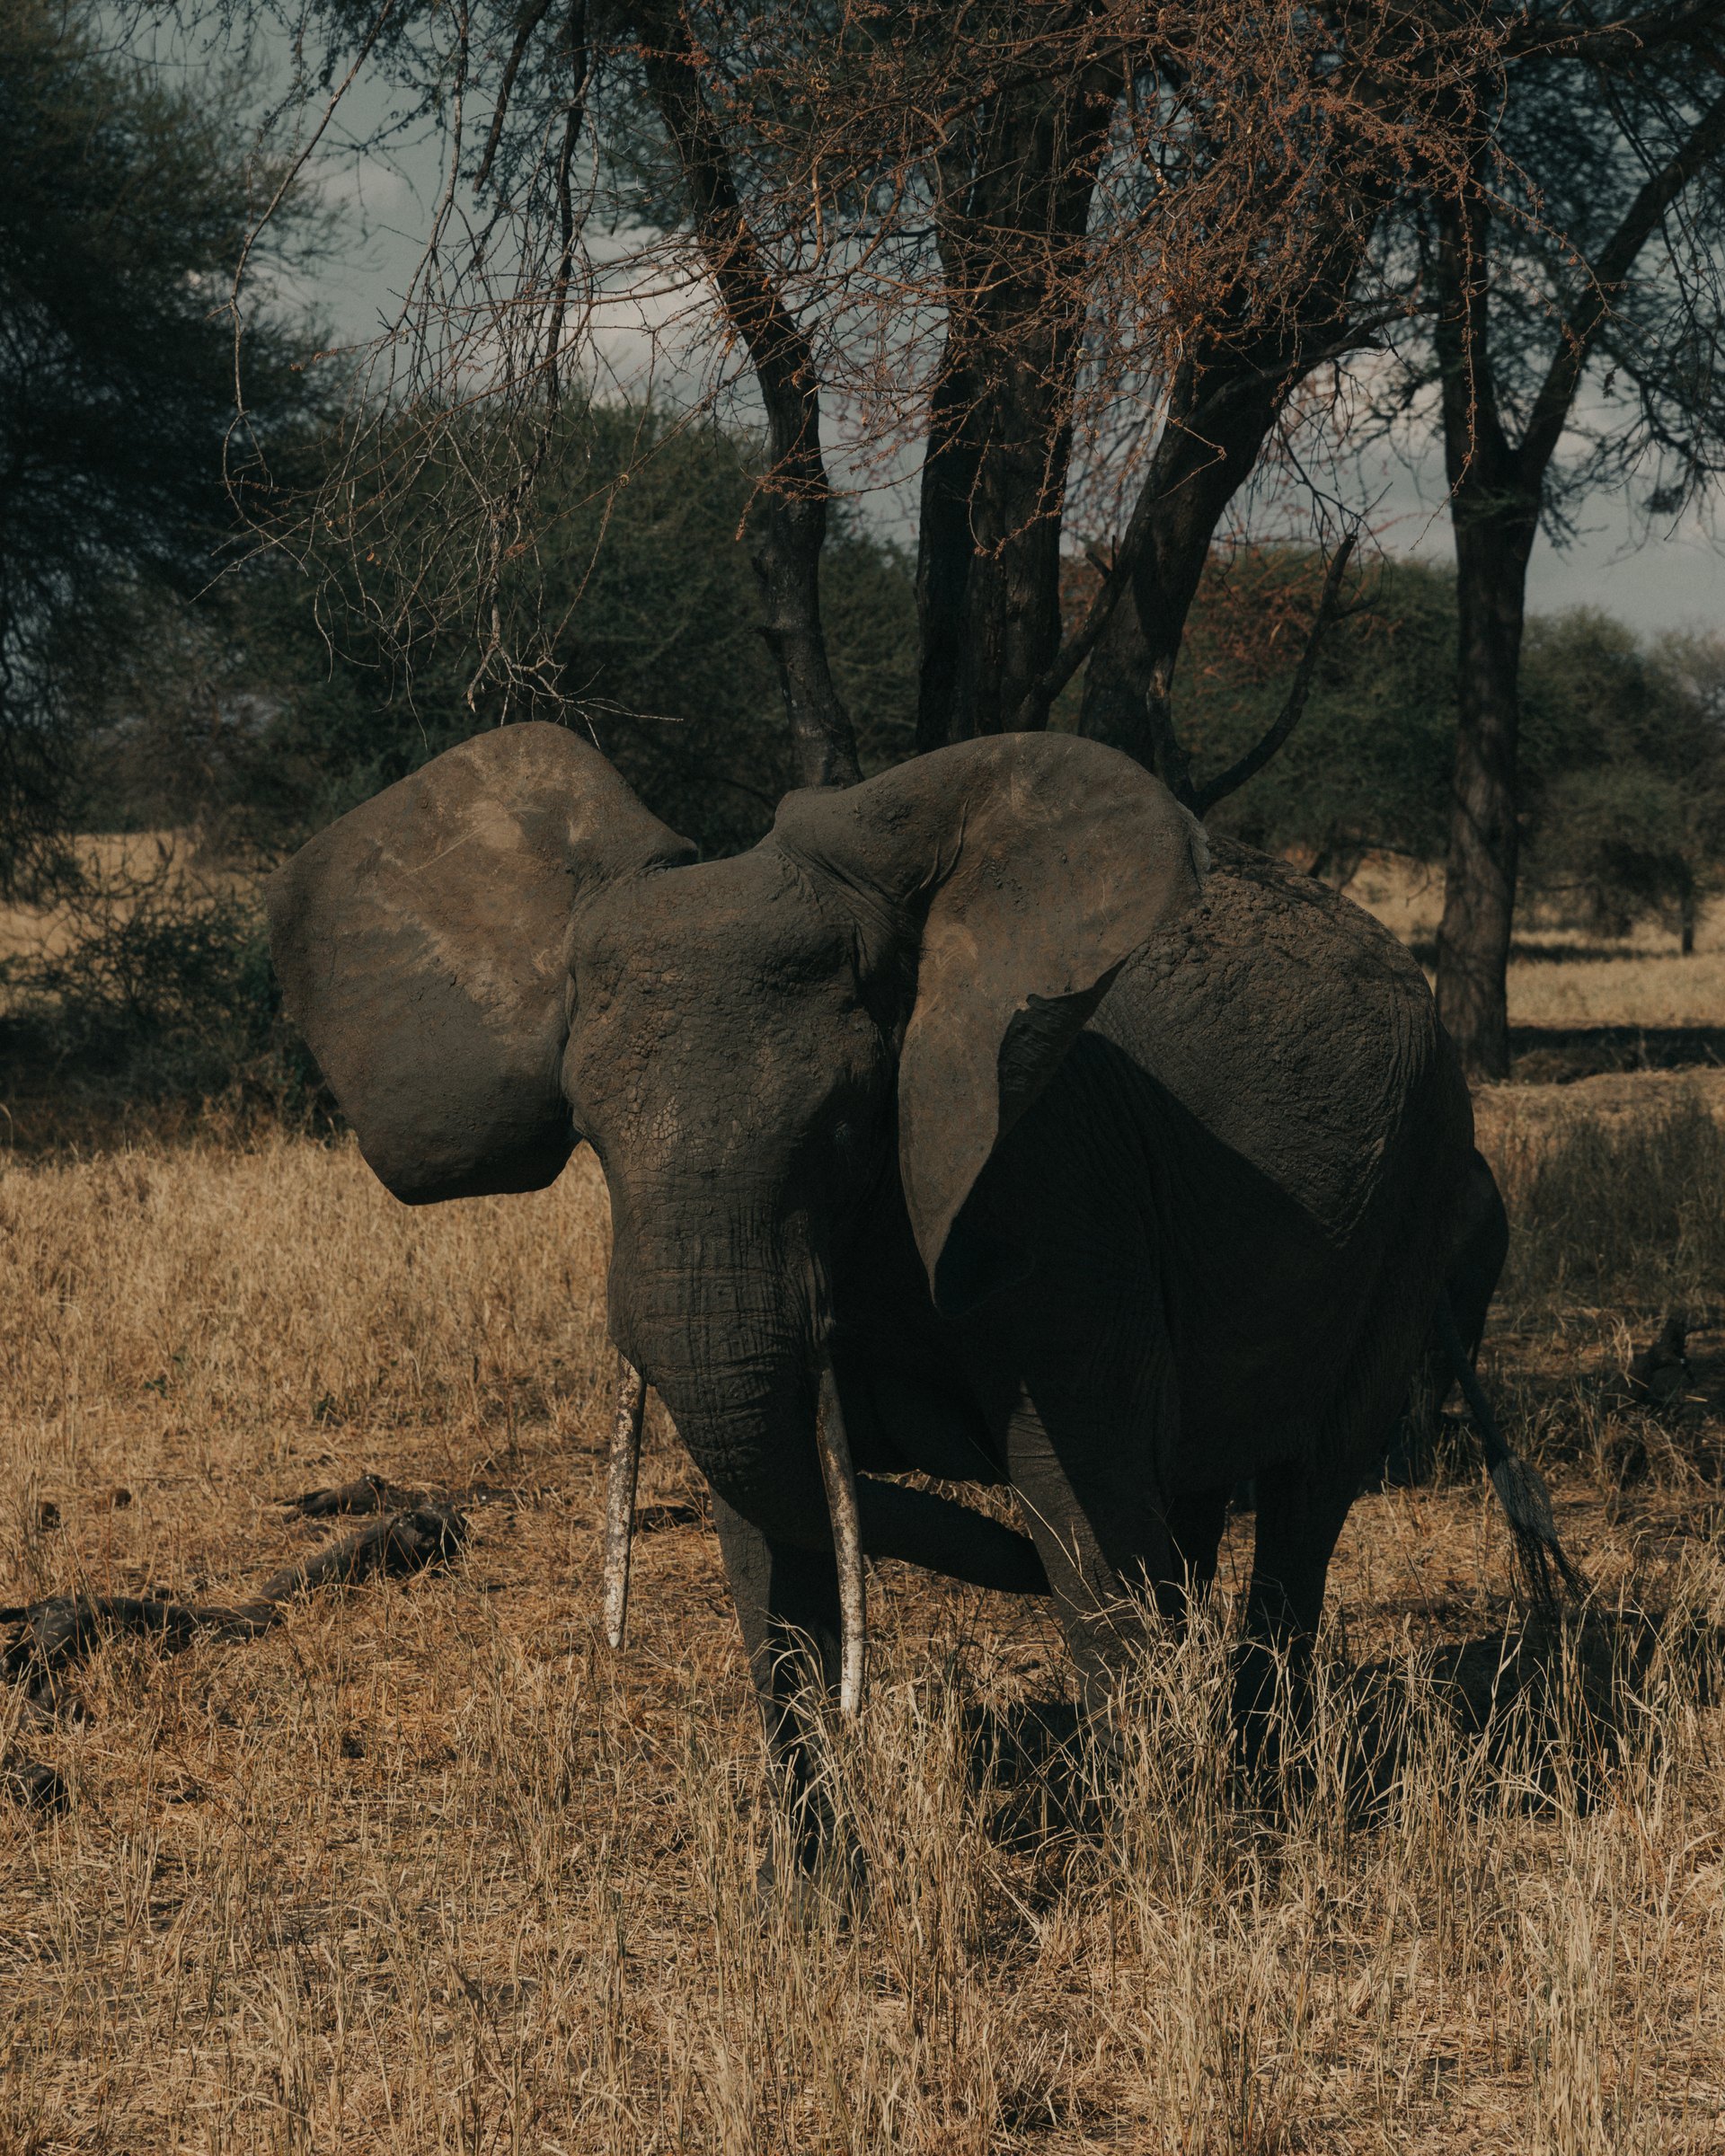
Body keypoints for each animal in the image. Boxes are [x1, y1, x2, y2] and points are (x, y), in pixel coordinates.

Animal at [267, 722, 1576, 1844]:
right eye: (587, 1130)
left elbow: (1079, 1508)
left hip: (1419, 1200)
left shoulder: (1050, 1188)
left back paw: (1254, 1778)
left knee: (1305, 1497)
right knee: (1202, 1497)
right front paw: (816, 1905)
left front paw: (1162, 1871)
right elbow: (770, 1544)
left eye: (850, 1120)